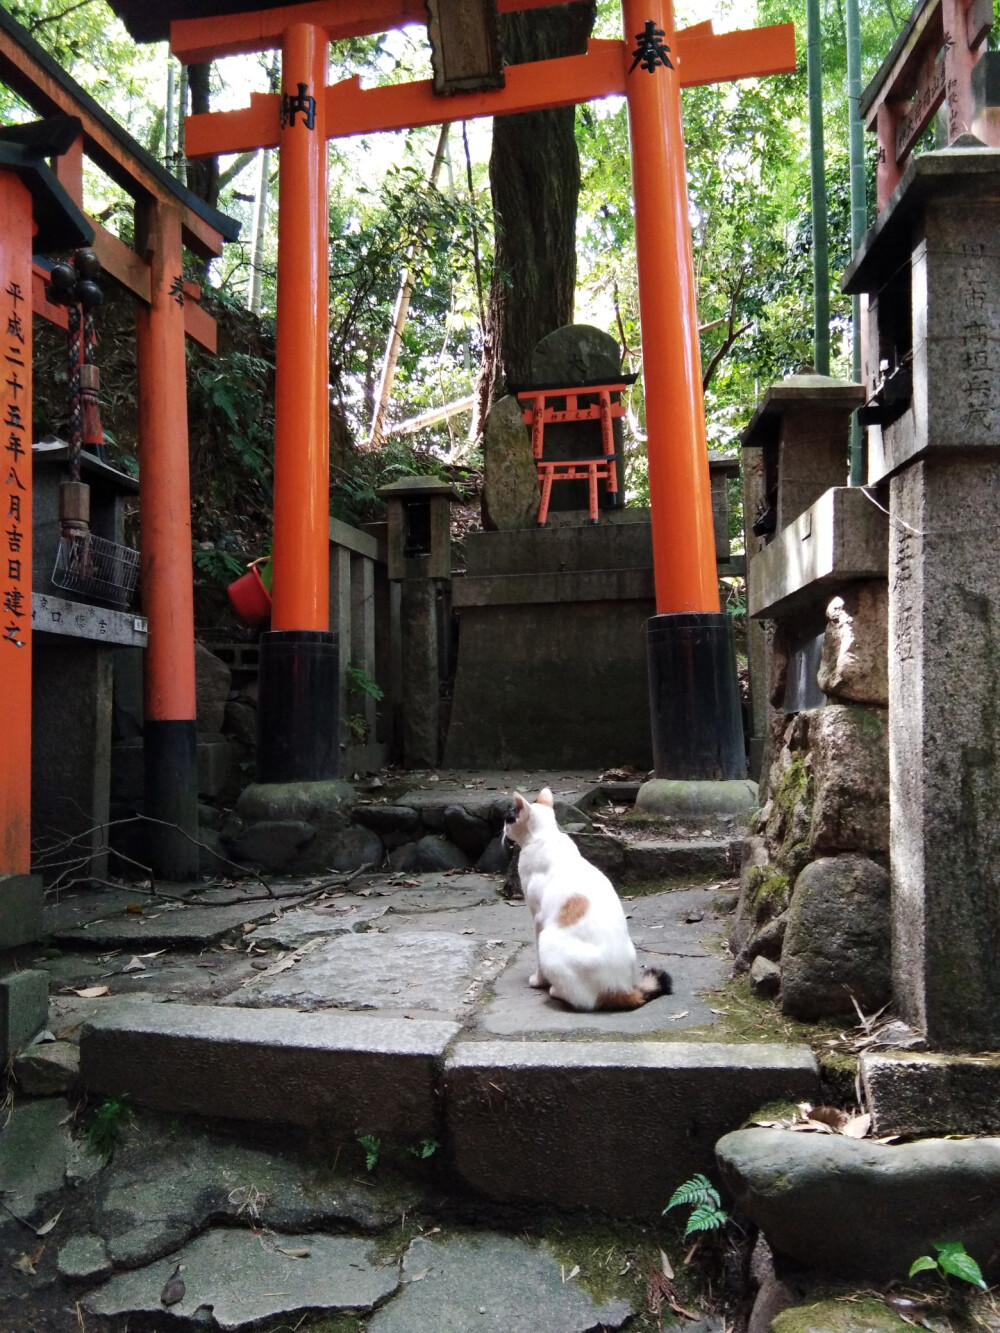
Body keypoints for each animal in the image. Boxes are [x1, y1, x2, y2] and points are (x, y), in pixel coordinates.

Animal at [501, 783, 674, 1013]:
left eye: (508, 819)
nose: (503, 828)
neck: (546, 835)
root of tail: (621, 990)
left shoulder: (537, 917)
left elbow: (536, 956)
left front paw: (538, 981)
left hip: (548, 940)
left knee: (583, 1001)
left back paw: (555, 990)